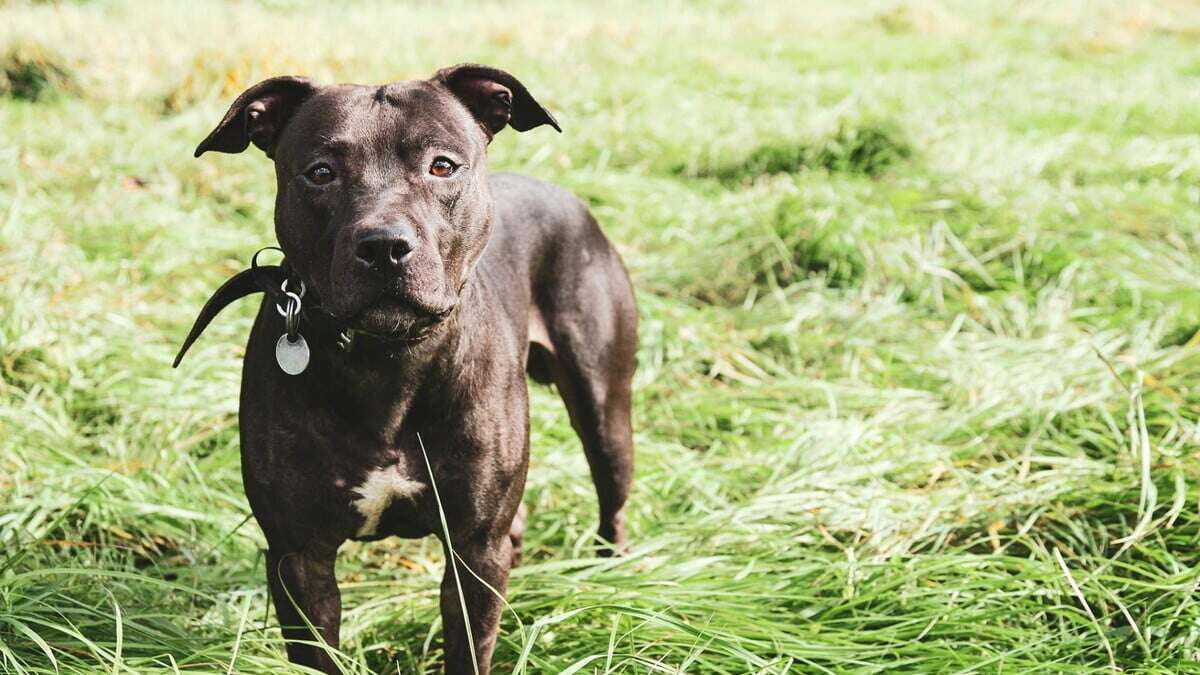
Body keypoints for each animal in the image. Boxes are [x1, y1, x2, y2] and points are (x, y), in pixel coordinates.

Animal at [176, 64, 638, 672]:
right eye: (320, 173)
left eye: (442, 165)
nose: (384, 245)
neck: (387, 358)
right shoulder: (299, 558)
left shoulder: (472, 554)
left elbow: (470, 649)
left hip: (604, 410)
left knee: (611, 497)